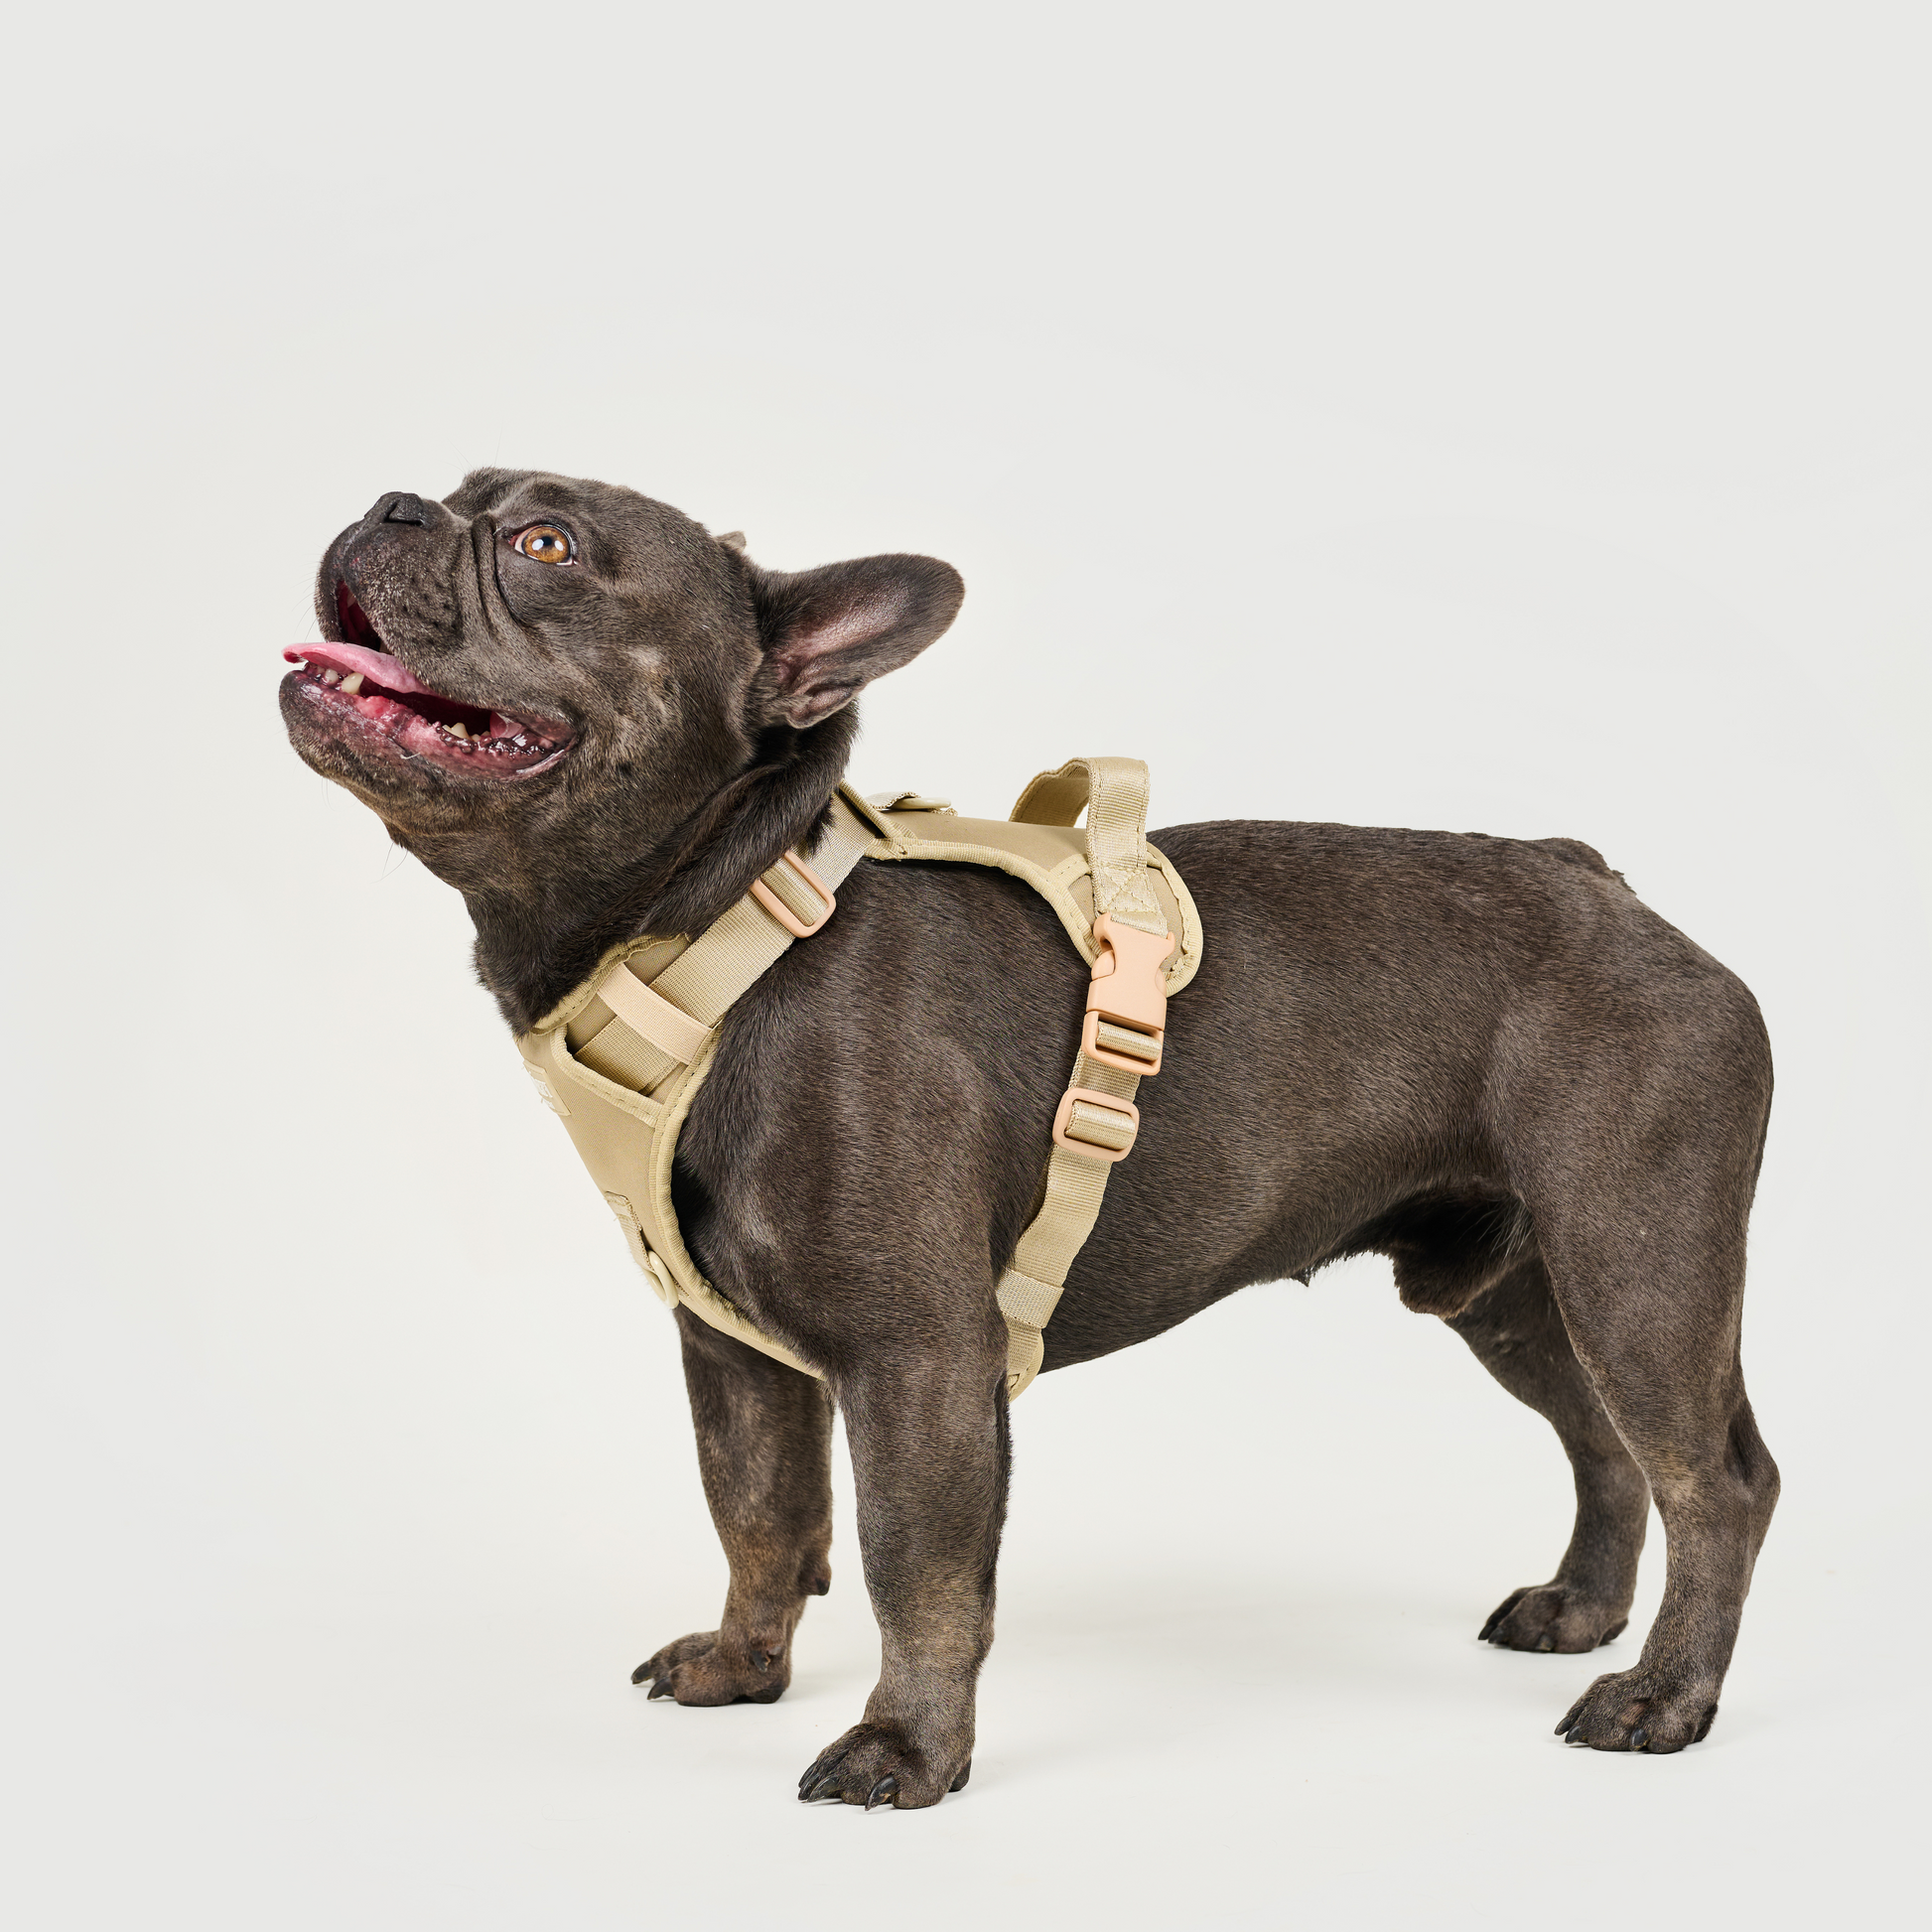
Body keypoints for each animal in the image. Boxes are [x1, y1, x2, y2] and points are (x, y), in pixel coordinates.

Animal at [281, 470, 1779, 1808]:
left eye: (545, 541)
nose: (394, 501)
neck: (721, 924)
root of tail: (1605, 885)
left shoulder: (918, 1361)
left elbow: (915, 1566)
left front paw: (906, 1749)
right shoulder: (732, 1355)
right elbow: (757, 1510)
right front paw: (746, 1665)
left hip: (1635, 1269)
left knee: (1712, 1481)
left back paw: (1662, 1695)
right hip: (1511, 1289)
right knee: (1603, 1444)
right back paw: (1581, 1612)